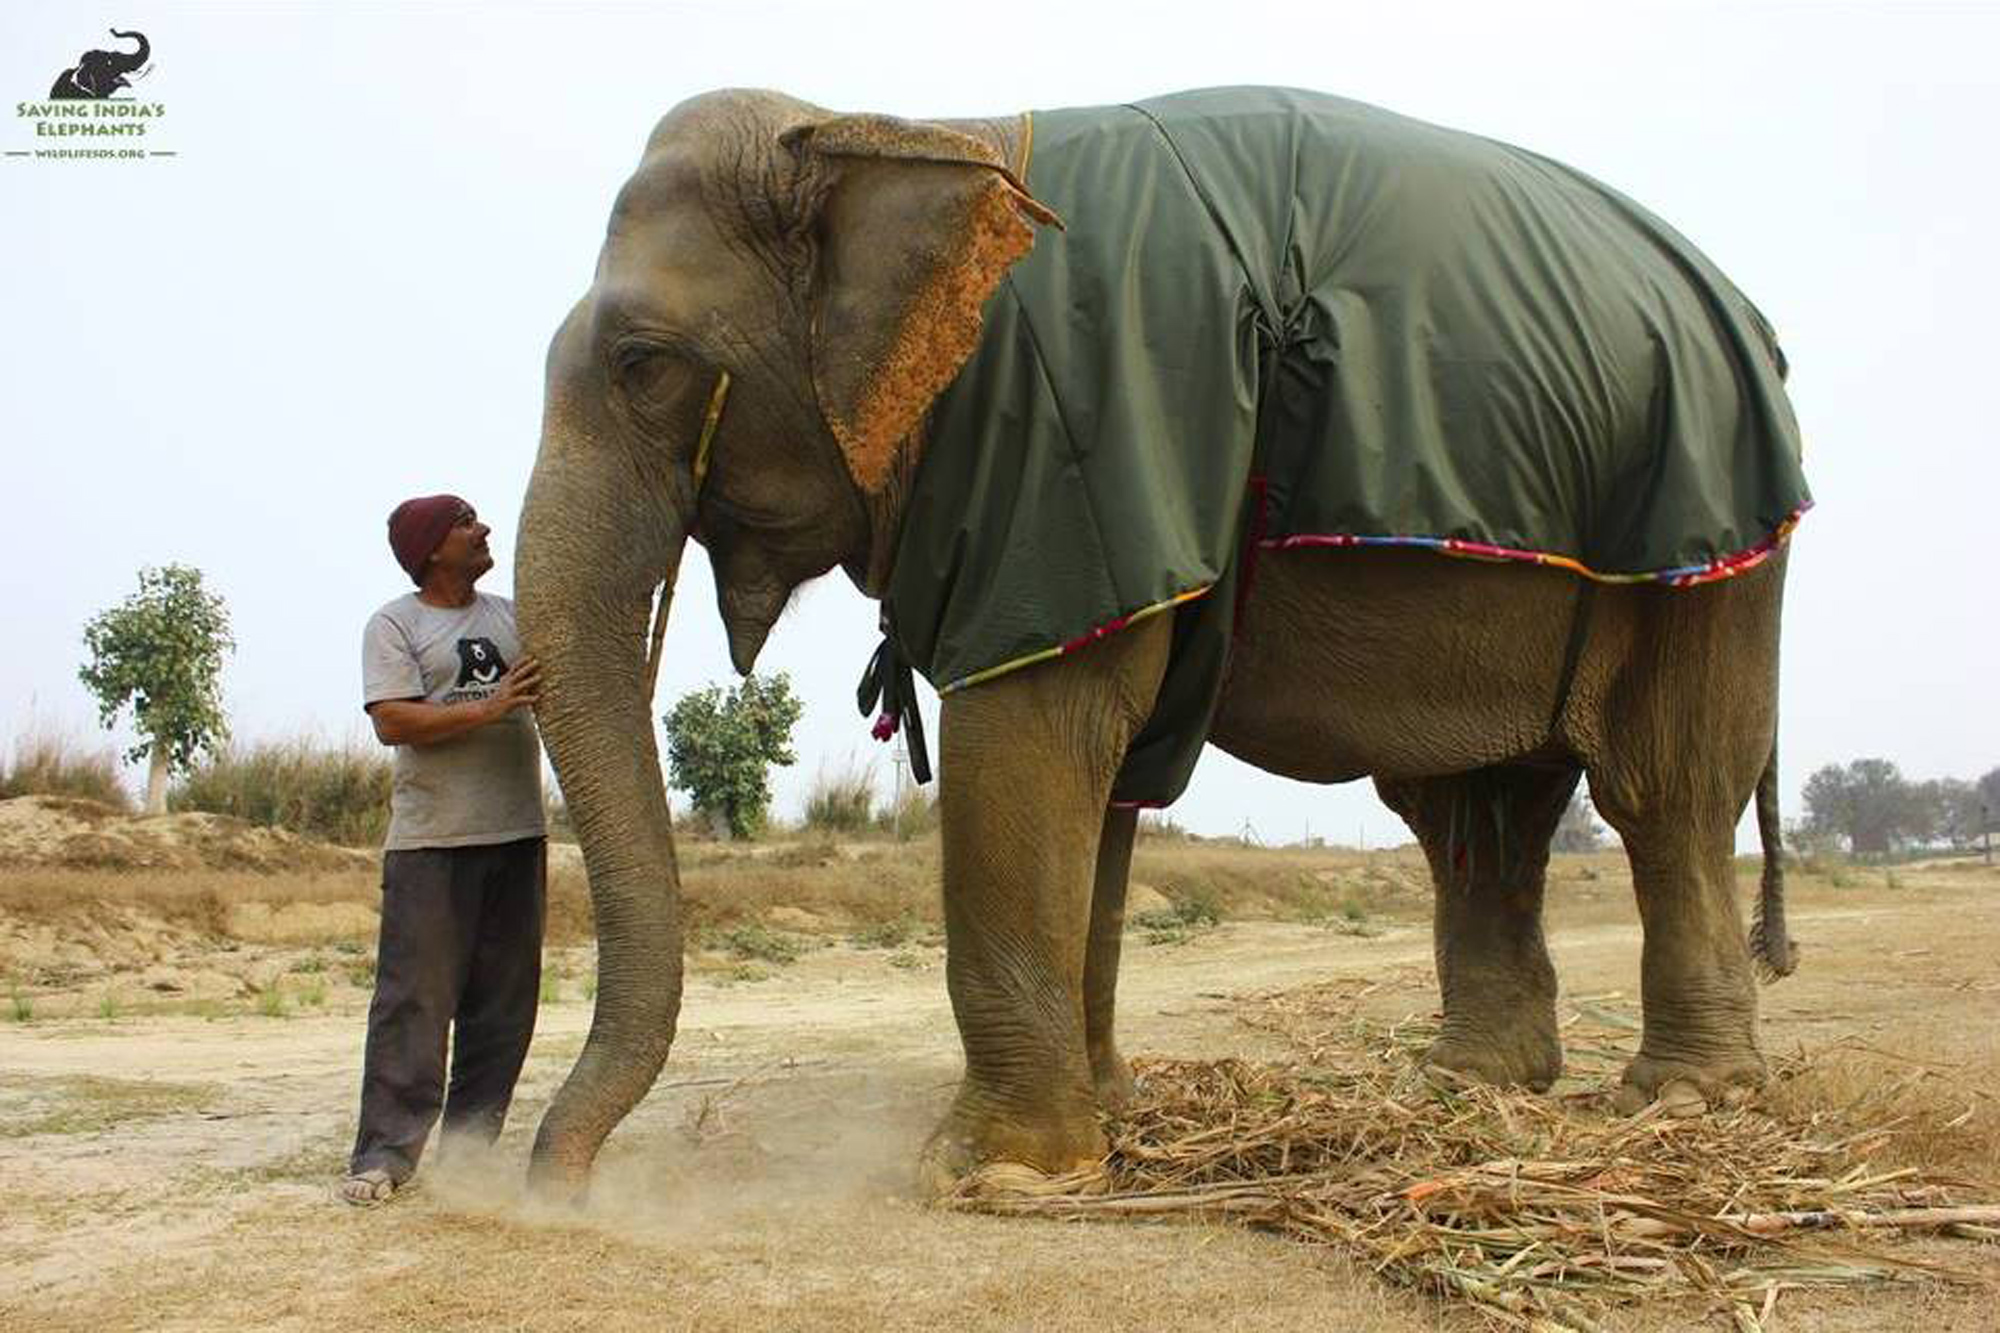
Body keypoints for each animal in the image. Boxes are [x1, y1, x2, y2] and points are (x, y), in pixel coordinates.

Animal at [512, 85, 1816, 1192]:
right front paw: (1106, 1121)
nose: (562, 1194)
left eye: (643, 365)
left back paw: (1680, 1103)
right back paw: (1466, 1085)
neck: (892, 129)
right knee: (1476, 813)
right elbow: (1103, 774)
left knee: (1661, 789)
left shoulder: (1062, 446)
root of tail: (1742, 317)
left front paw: (991, 1174)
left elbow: (1030, 735)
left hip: (1694, 532)